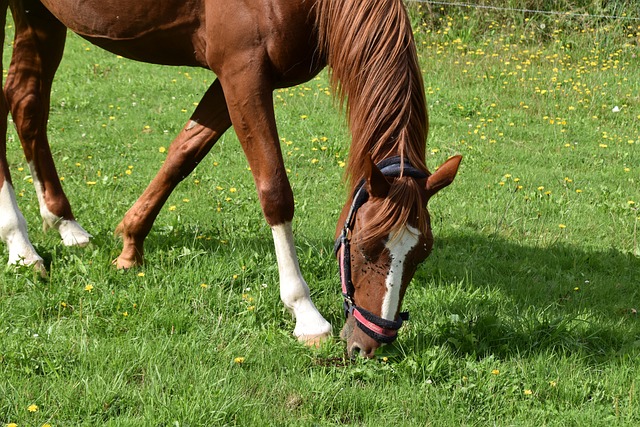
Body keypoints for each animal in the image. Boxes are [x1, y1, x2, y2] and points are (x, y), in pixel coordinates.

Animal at [0, 0, 460, 358]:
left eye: (420, 254)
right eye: (365, 248)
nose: (370, 343)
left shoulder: (232, 78)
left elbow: (184, 152)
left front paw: (130, 243)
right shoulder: (243, 72)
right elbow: (274, 190)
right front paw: (306, 314)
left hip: (40, 17)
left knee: (26, 101)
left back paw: (64, 222)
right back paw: (21, 245)